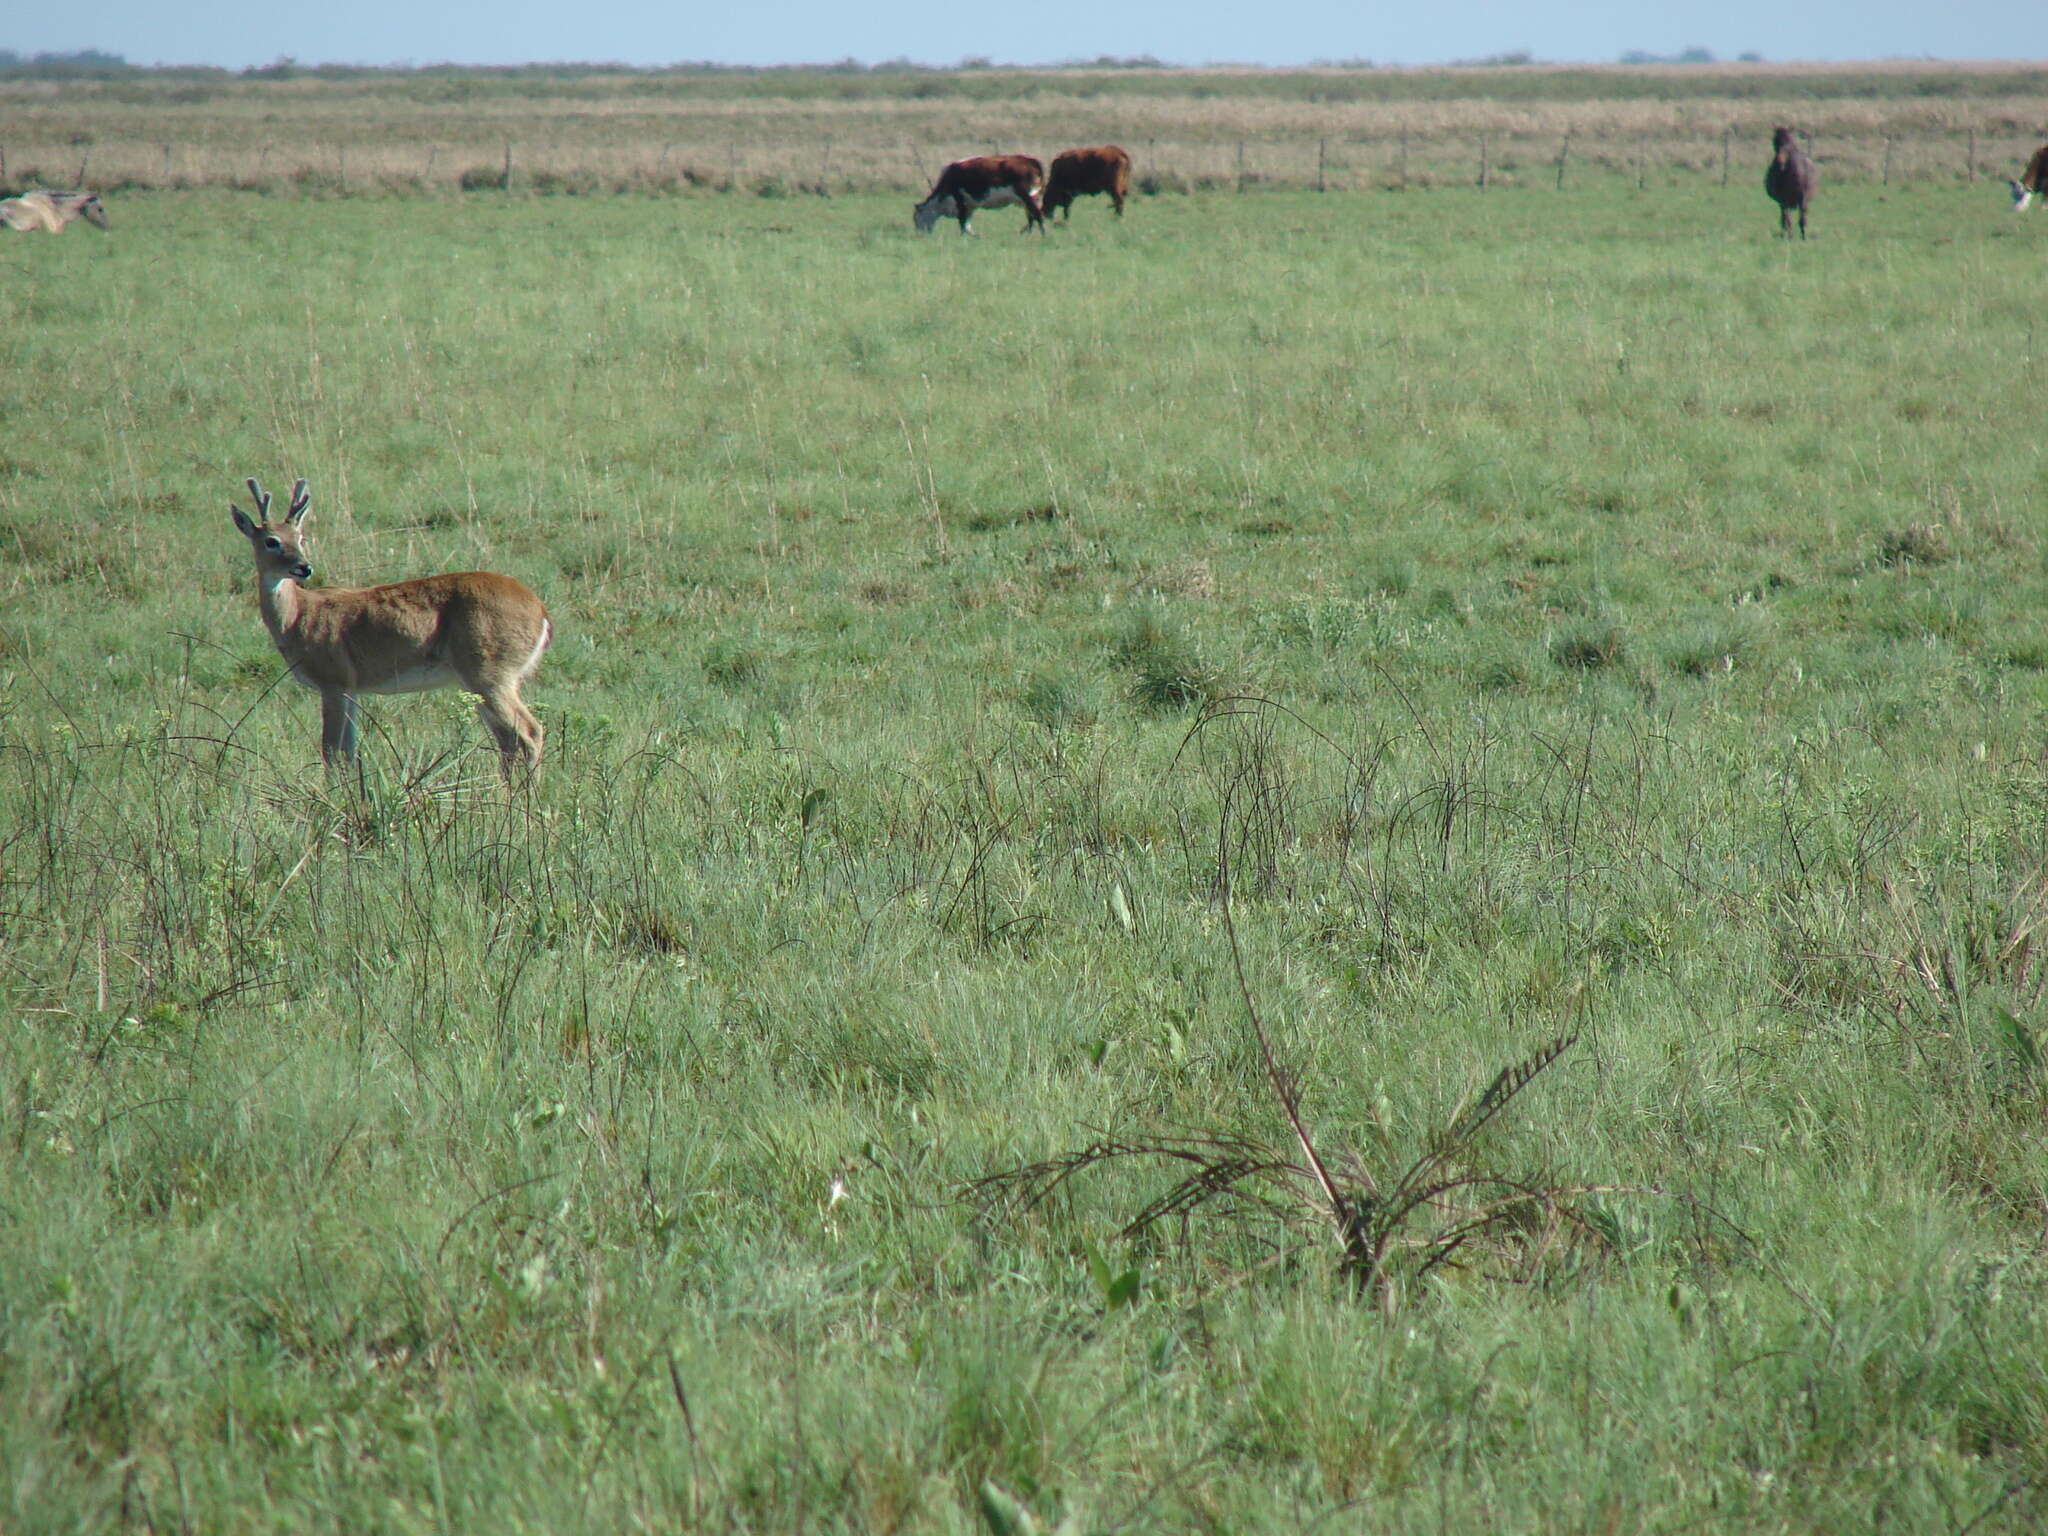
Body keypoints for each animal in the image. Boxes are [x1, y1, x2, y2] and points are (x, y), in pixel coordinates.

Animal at [234, 479, 552, 782]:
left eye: (300, 538)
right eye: (271, 541)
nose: (304, 567)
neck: (297, 615)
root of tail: (541, 613)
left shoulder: (333, 682)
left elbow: (331, 753)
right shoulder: (351, 690)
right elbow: (348, 752)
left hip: (491, 673)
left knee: (529, 731)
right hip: (476, 682)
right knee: (507, 739)